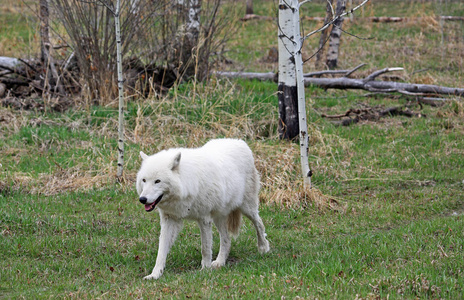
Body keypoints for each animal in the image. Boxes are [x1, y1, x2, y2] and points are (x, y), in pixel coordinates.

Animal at [136, 139, 270, 280]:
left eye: (157, 181)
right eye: (144, 180)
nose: (142, 199)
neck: (186, 184)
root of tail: (240, 142)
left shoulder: (204, 219)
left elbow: (205, 248)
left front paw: (205, 270)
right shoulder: (169, 219)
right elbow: (161, 250)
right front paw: (155, 274)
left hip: (247, 208)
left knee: (259, 223)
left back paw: (263, 248)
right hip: (218, 217)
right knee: (227, 240)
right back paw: (219, 262)